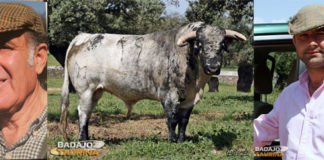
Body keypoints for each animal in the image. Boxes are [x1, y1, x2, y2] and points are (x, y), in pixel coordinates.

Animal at [60, 21, 246, 142]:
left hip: (96, 91)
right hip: (85, 90)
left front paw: (181, 140)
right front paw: (172, 142)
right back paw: (83, 140)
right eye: (200, 44)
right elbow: (171, 120)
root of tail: (84, 36)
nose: (213, 67)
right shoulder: (168, 95)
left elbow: (183, 121)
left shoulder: (189, 99)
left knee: (88, 113)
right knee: (83, 112)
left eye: (222, 45)